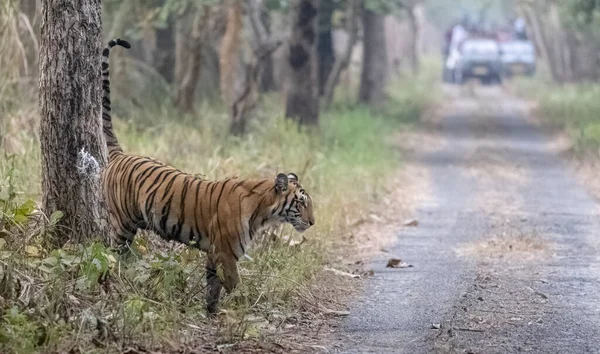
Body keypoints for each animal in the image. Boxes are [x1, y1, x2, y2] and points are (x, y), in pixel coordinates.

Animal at [101, 39, 316, 316]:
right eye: (301, 203)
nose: (312, 223)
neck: (263, 211)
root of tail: (120, 155)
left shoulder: (215, 253)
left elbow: (212, 286)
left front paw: (211, 313)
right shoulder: (226, 252)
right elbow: (233, 285)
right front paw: (242, 310)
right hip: (122, 224)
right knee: (112, 251)